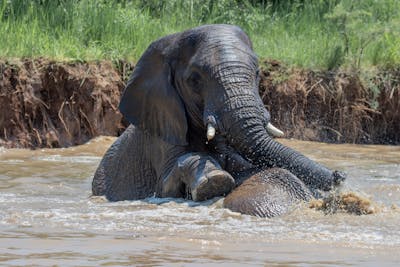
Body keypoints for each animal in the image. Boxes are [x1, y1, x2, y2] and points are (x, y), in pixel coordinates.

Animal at [92, 25, 346, 218]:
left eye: (257, 73)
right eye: (194, 80)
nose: (340, 175)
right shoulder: (160, 131)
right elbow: (165, 188)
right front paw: (215, 181)